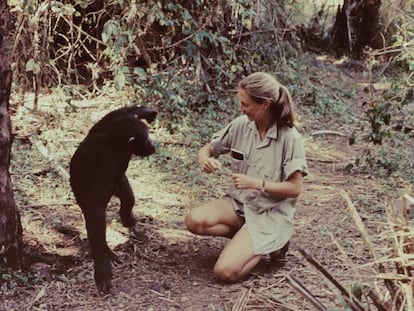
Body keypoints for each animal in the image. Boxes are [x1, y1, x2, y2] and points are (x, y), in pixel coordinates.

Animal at [69, 106, 157, 294]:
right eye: (147, 139)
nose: (153, 144)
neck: (117, 141)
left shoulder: (110, 122)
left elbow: (119, 112)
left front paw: (147, 111)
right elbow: (95, 218)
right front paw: (102, 270)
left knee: (127, 197)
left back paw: (128, 219)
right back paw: (107, 252)